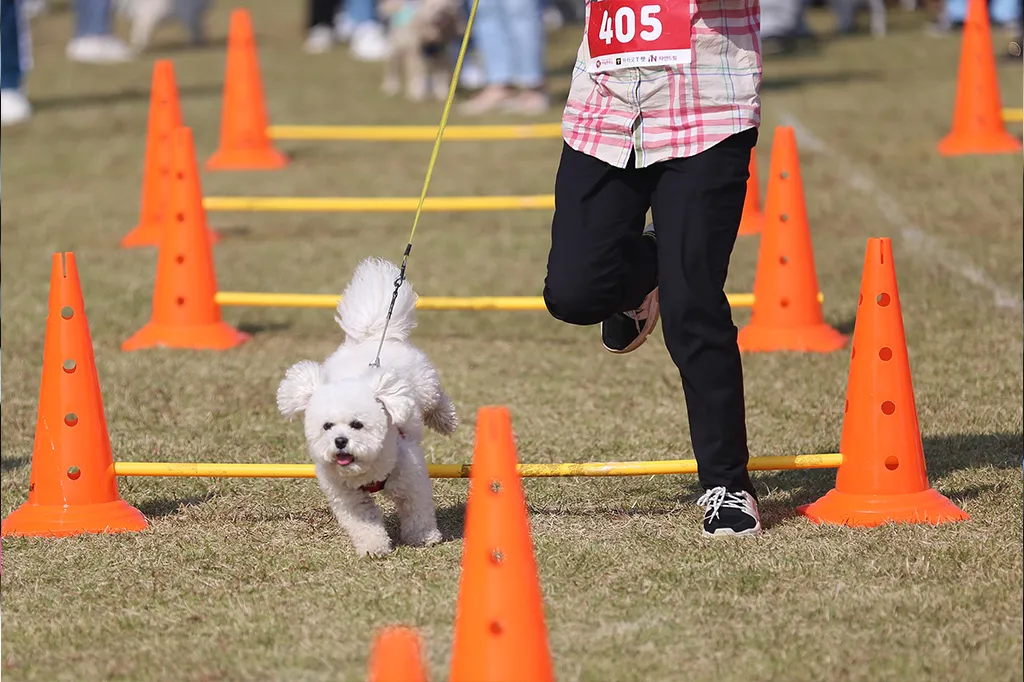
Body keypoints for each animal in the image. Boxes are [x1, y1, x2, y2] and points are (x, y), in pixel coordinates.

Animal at [278, 258, 458, 557]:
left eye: (357, 425)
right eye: (327, 426)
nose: (340, 441)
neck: (366, 472)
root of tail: (372, 337)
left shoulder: (411, 478)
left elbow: (417, 510)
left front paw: (423, 538)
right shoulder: (347, 498)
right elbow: (364, 523)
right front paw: (374, 548)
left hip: (426, 386)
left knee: (436, 401)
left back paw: (446, 420)